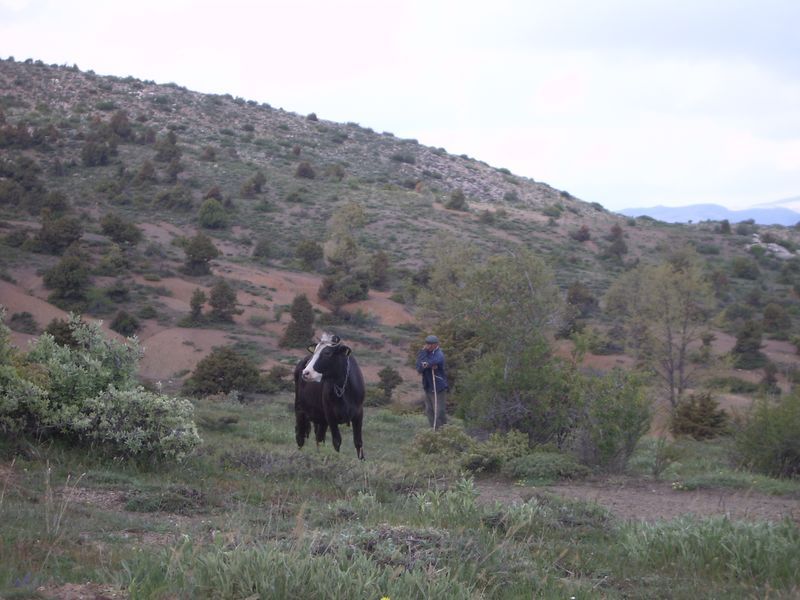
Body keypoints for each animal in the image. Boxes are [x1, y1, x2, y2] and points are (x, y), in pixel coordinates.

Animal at [294, 332, 366, 460]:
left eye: (327, 353)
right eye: (315, 351)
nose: (306, 372)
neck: (343, 388)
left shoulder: (358, 413)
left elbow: (358, 442)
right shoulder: (331, 415)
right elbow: (337, 441)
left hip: (321, 418)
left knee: (319, 437)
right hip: (300, 409)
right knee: (300, 435)